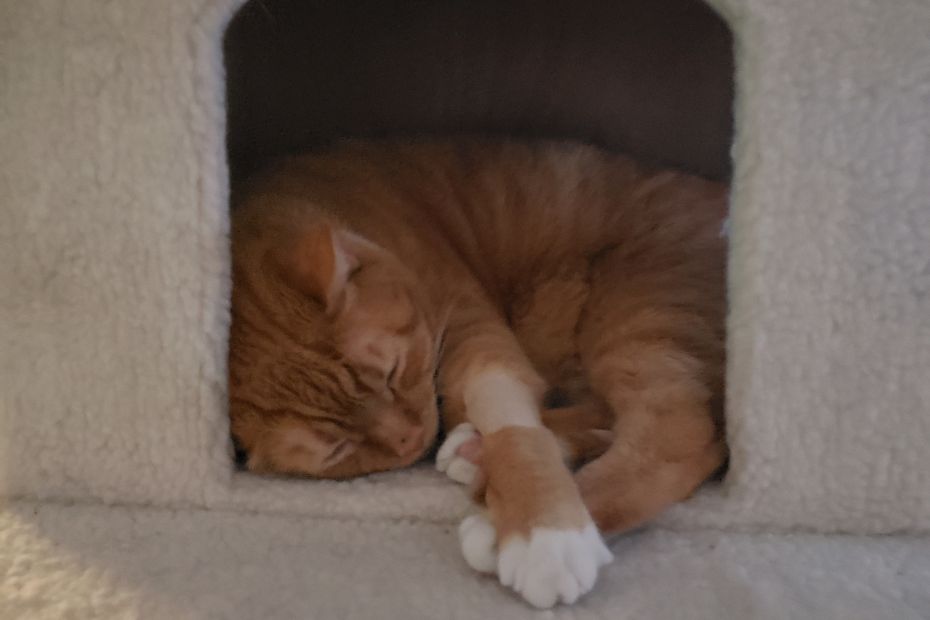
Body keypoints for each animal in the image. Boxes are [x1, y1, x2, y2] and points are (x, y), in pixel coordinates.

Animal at [228, 139, 728, 604]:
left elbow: (514, 428)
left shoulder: (475, 336)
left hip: (639, 312)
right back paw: (475, 450)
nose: (409, 440)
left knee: (680, 435)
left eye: (392, 372)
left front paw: (547, 537)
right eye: (337, 450)